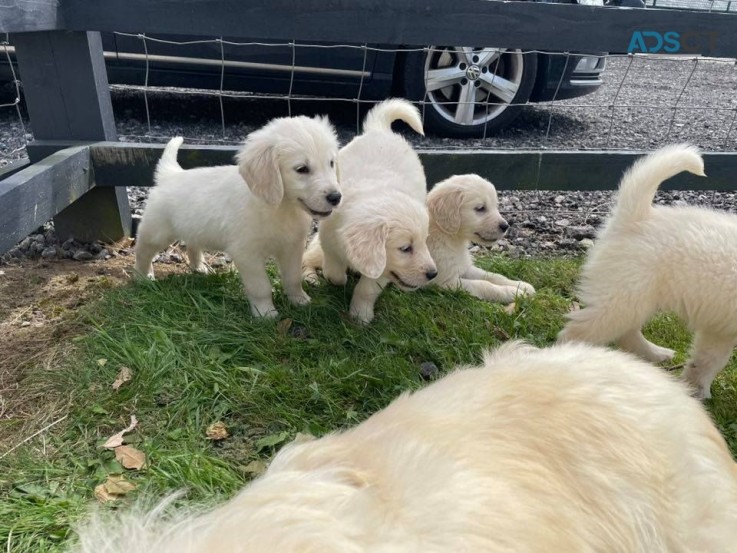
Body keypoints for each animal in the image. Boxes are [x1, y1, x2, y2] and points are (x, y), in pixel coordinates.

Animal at [136, 118, 342, 322]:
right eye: (302, 169)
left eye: (331, 163)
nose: (336, 197)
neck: (279, 207)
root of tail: (170, 174)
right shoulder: (247, 253)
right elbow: (260, 287)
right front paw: (265, 313)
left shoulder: (292, 246)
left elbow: (293, 277)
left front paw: (299, 300)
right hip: (156, 232)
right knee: (143, 251)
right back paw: (143, 277)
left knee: (192, 244)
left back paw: (199, 267)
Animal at [300, 99, 436, 324]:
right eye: (405, 248)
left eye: (425, 241)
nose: (433, 274)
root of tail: (380, 130)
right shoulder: (328, 240)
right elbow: (333, 271)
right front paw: (339, 279)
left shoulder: (383, 266)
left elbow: (367, 289)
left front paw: (360, 316)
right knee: (307, 258)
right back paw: (310, 277)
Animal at [426, 172, 536, 302]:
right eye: (480, 208)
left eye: (495, 206)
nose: (505, 226)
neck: (448, 236)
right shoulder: (443, 282)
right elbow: (483, 285)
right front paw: (514, 293)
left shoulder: (465, 267)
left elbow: (492, 276)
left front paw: (520, 285)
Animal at [556, 144, 736, 398]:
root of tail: (636, 217)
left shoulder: (720, 327)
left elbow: (707, 360)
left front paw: (695, 390)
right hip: (623, 298)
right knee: (577, 334)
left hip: (632, 297)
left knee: (627, 333)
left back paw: (653, 354)